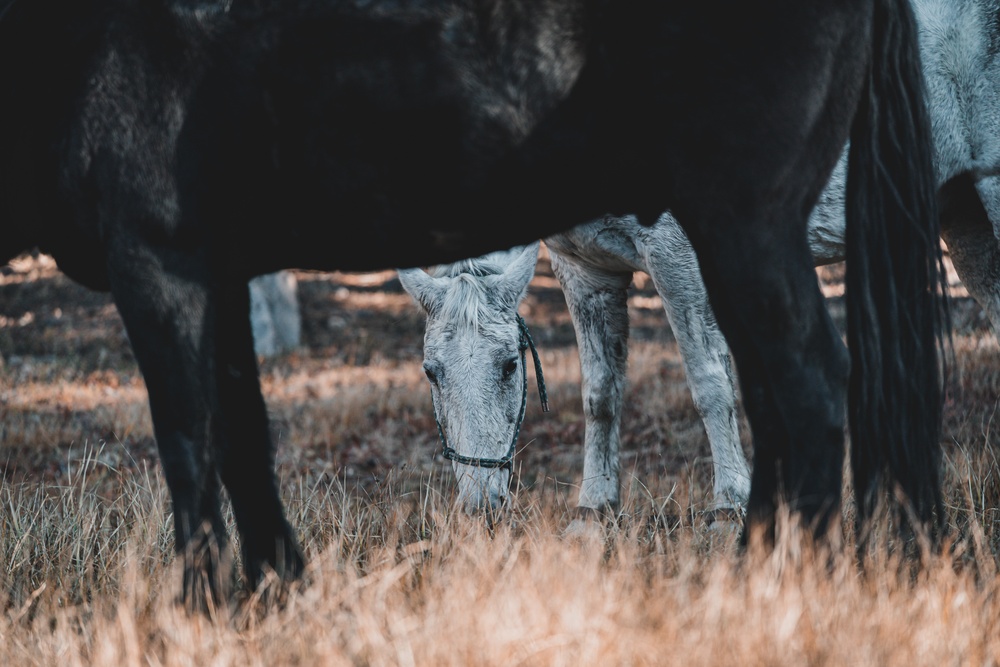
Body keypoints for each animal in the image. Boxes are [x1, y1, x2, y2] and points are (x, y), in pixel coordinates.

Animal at [0, 0, 944, 604]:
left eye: (508, 367)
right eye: (428, 373)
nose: (483, 513)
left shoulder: (159, 266)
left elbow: (192, 446)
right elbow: (245, 440)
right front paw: (273, 594)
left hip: (745, 224)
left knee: (808, 383)